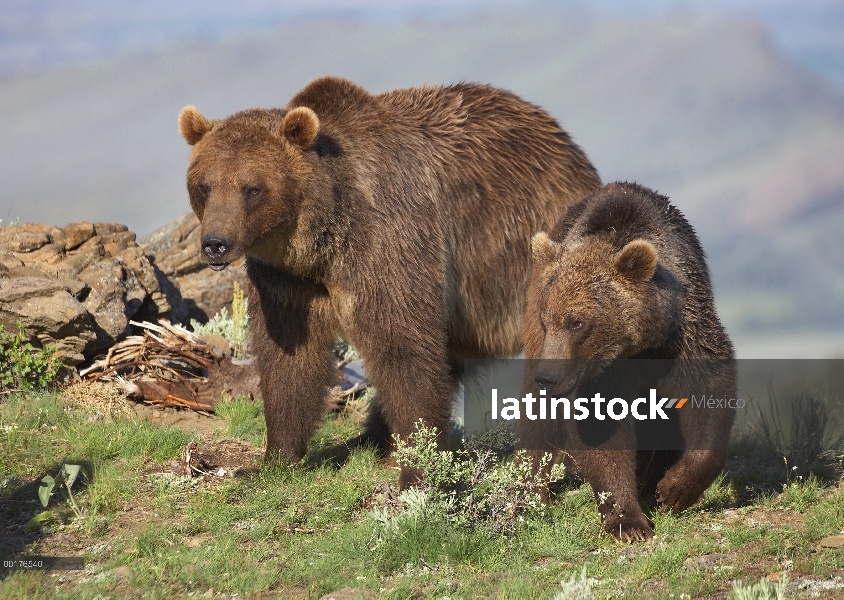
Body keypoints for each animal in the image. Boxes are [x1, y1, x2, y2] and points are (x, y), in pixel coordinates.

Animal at [178, 76, 600, 488]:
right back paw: (374, 440)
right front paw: (273, 458)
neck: (322, 241)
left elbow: (403, 349)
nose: (215, 243)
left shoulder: (389, 242)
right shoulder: (286, 281)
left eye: (252, 188)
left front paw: (418, 471)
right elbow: (289, 359)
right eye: (204, 185)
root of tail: (573, 152)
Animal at [516, 180, 736, 540]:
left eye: (578, 322)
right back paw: (532, 492)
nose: (549, 376)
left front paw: (674, 489)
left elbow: (708, 390)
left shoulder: (683, 334)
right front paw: (628, 522)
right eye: (549, 319)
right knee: (537, 416)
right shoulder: (597, 373)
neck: (638, 344)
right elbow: (601, 429)